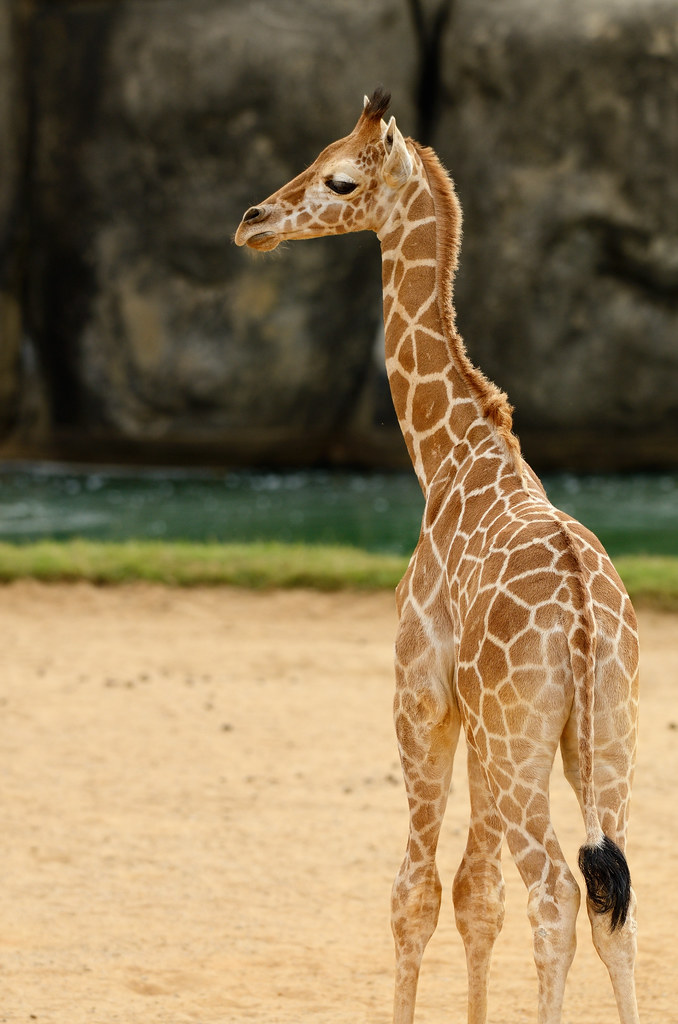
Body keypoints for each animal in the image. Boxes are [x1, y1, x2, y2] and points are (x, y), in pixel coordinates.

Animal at [236, 90, 639, 1024]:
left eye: (340, 179)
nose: (253, 222)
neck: (449, 452)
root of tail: (584, 625)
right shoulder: (478, 720)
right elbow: (473, 894)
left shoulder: (419, 694)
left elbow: (415, 891)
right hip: (603, 737)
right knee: (611, 901)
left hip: (525, 743)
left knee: (557, 892)